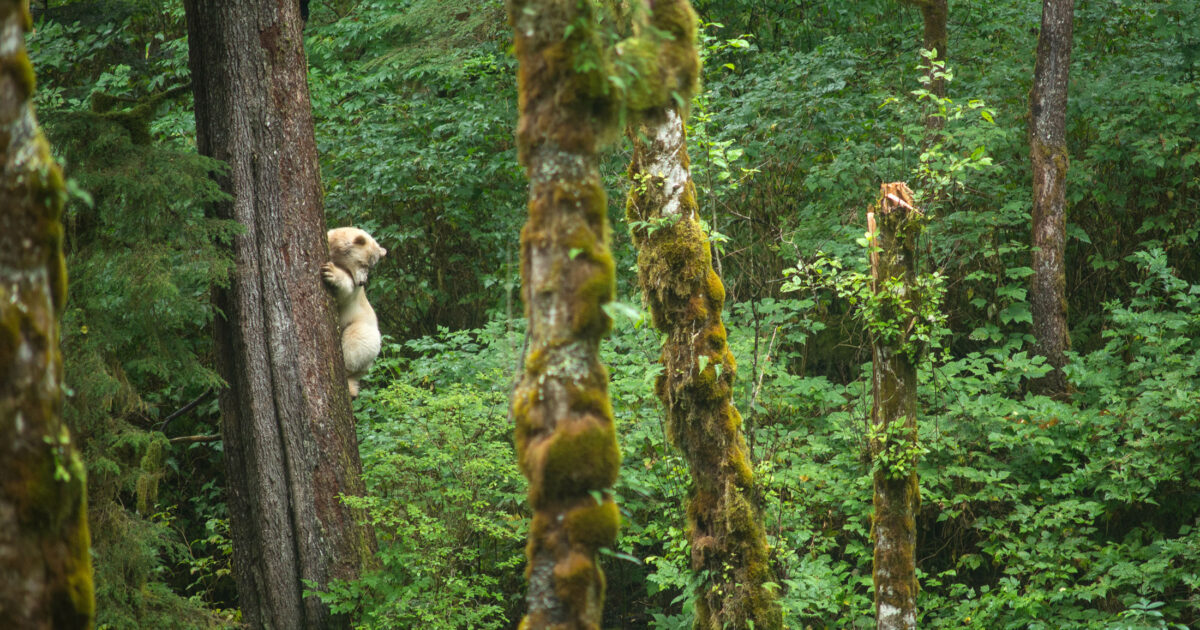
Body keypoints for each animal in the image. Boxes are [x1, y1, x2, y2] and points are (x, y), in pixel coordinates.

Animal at [322, 227, 387, 398]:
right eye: (363, 263)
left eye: (371, 266)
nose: (363, 282)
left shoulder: (353, 292)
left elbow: (345, 290)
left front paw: (331, 272)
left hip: (366, 333)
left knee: (355, 339)